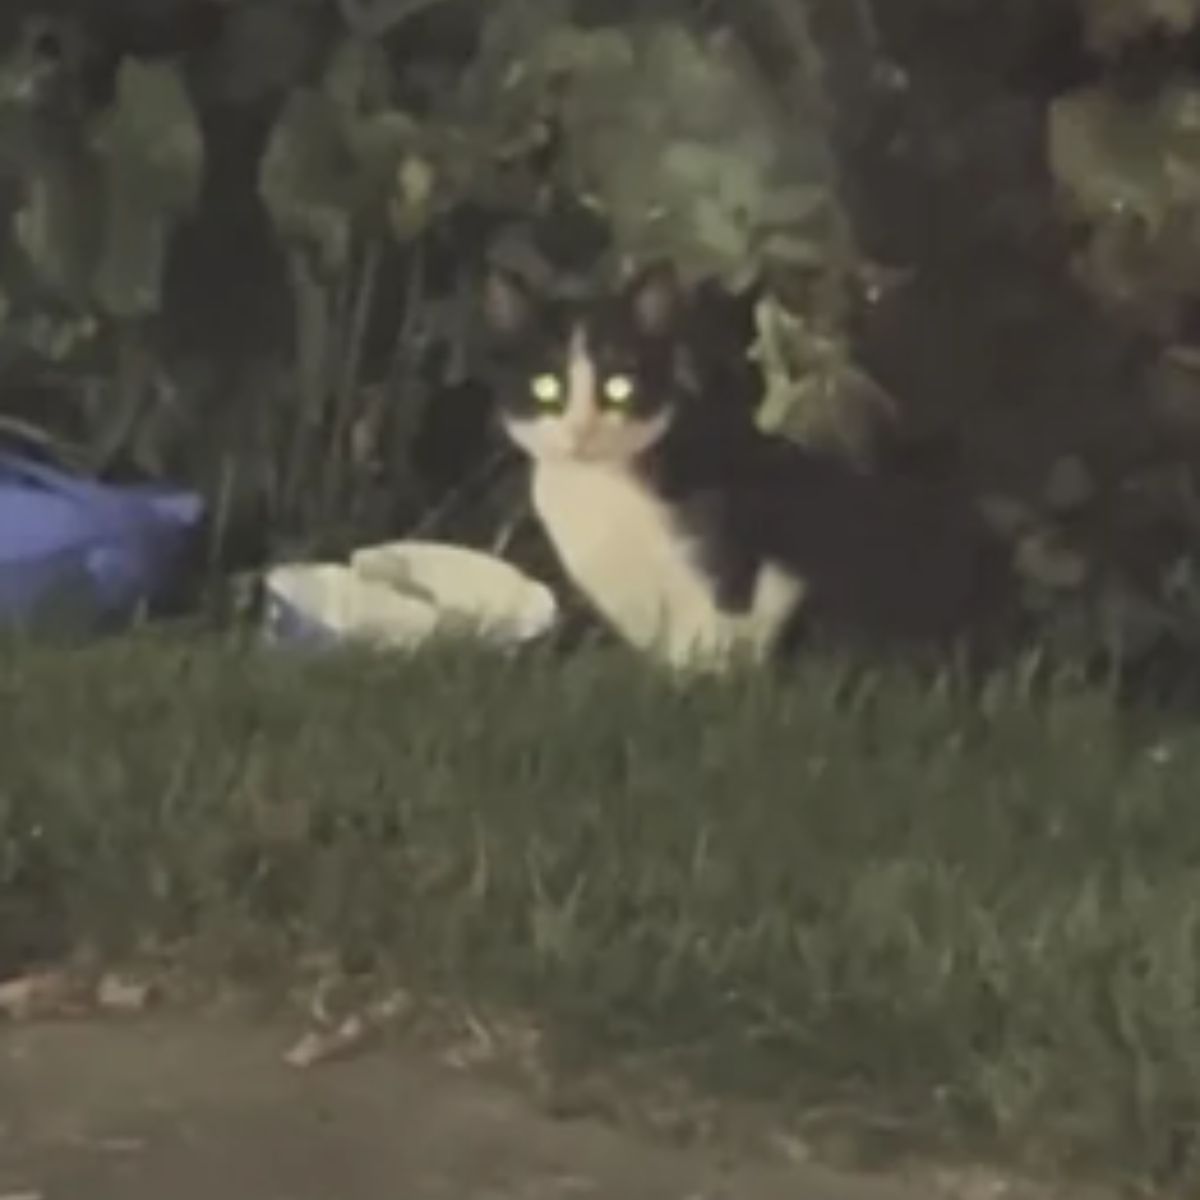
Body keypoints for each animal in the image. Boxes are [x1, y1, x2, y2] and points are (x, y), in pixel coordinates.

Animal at [477, 262, 1012, 672]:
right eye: (547, 387)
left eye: (620, 387)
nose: (582, 431)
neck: (602, 485)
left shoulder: (732, 566)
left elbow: (711, 642)